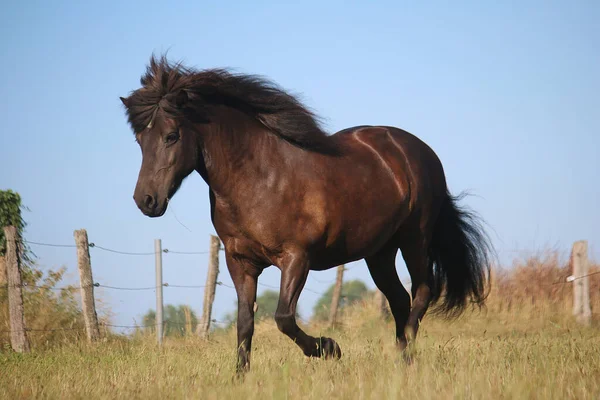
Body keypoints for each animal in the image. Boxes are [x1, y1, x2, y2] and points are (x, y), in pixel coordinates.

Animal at [120, 54, 492, 374]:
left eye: (171, 136)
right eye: (139, 140)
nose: (145, 200)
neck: (259, 177)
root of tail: (418, 150)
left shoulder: (297, 258)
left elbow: (283, 317)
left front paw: (330, 348)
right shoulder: (240, 262)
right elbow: (245, 322)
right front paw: (240, 377)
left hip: (415, 238)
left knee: (422, 293)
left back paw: (408, 355)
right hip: (379, 252)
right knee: (400, 300)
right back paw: (403, 362)